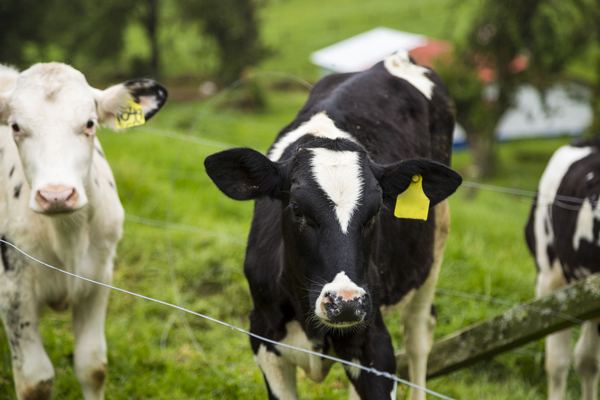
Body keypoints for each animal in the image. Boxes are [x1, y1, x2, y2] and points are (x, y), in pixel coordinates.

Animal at [0, 61, 168, 396]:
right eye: (15, 127)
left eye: (90, 123)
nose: (57, 195)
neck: (68, 238)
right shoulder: (13, 290)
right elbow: (35, 380)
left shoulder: (99, 277)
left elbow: (92, 366)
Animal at [204, 49, 462, 396]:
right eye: (297, 209)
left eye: (376, 211)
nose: (346, 302)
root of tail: (395, 58)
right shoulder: (264, 339)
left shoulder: (375, 348)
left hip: (432, 254)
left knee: (419, 335)